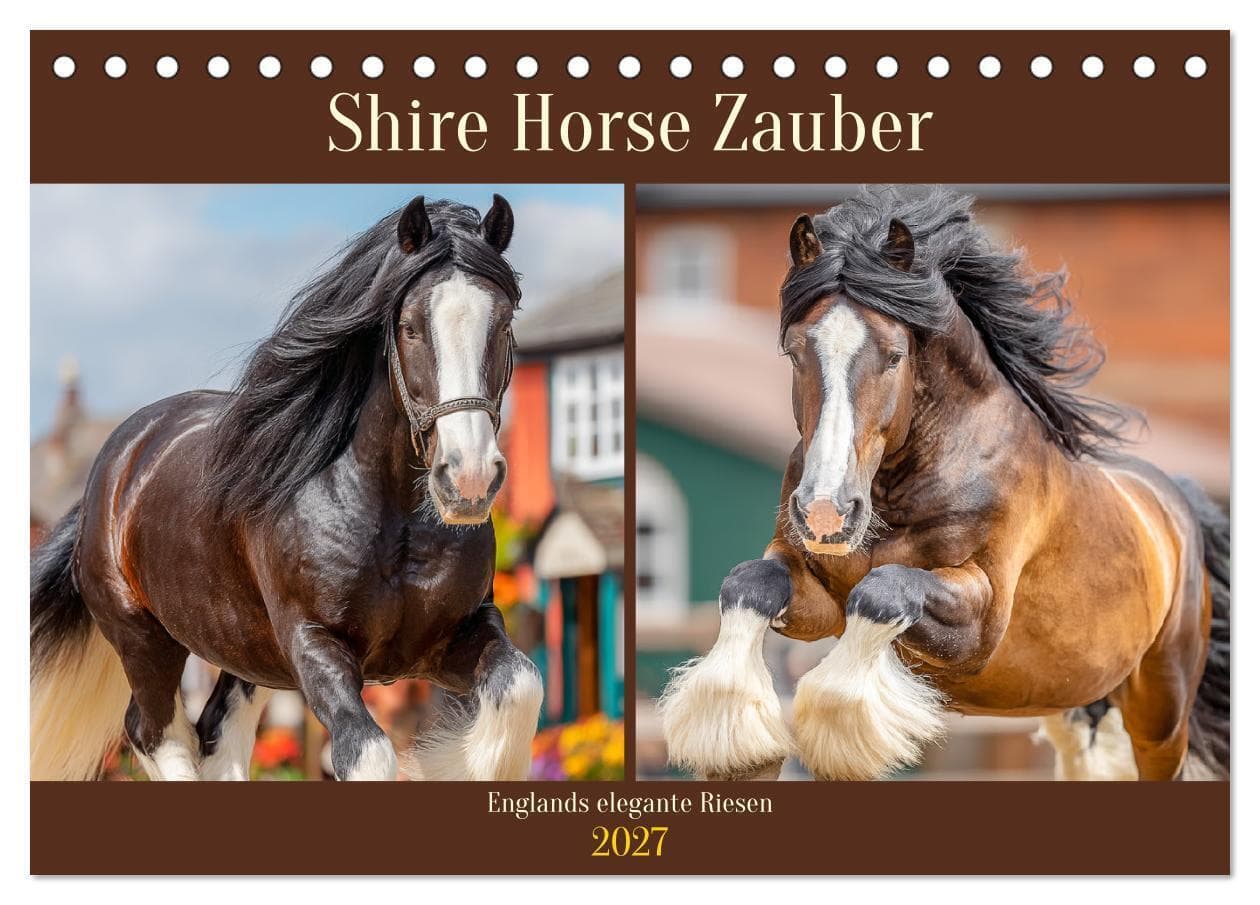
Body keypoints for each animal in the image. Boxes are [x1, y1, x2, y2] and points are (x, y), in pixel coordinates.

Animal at [31, 195, 545, 781]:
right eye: (410, 327)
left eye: (502, 324)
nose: (469, 480)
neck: (390, 520)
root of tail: (116, 465)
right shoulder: (316, 646)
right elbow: (367, 755)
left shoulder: (452, 637)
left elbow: (521, 686)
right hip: (145, 641)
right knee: (155, 733)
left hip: (245, 653)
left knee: (216, 736)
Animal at [660, 187, 1230, 782]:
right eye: (795, 352)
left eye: (895, 356)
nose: (825, 513)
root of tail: (1175, 507)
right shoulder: (817, 599)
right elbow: (749, 582)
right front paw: (738, 742)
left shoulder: (979, 623)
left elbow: (883, 591)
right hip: (1074, 705)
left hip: (1160, 715)